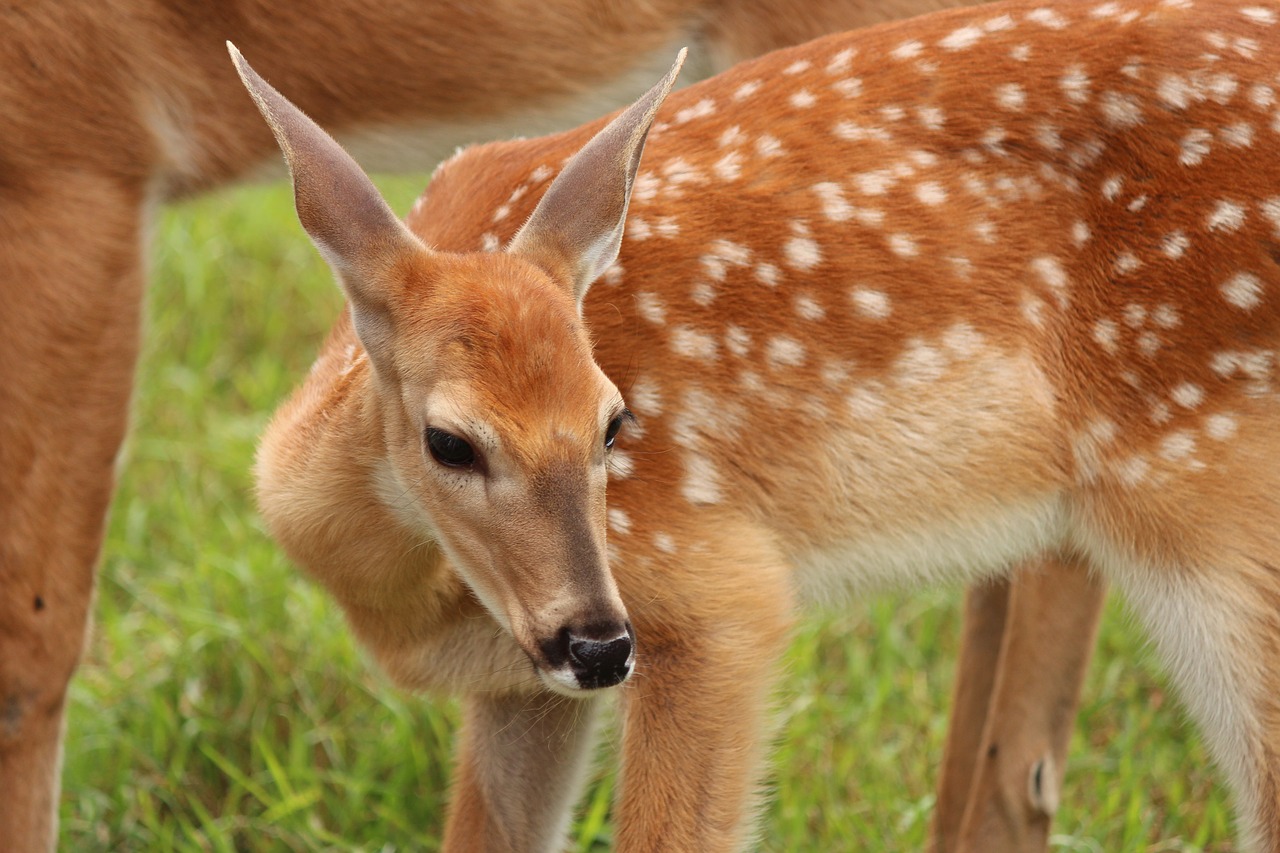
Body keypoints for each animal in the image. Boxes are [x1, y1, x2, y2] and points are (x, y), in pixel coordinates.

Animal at [244, 0, 1280, 845]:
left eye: (615, 422)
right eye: (449, 441)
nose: (598, 642)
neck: (407, 600)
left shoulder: (715, 592)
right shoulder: (517, 686)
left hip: (1211, 501)